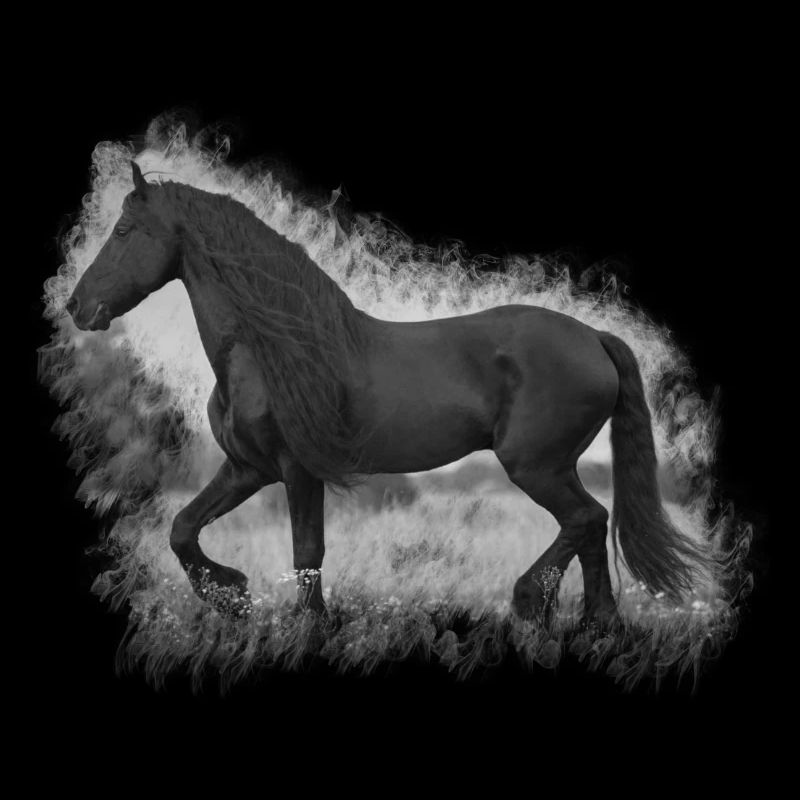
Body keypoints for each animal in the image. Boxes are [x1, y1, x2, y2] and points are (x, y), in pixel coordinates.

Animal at [66, 161, 710, 628]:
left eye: (122, 231)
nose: (76, 306)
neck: (269, 349)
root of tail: (594, 338)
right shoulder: (248, 469)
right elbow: (183, 529)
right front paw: (233, 597)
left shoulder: (297, 469)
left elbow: (306, 553)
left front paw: (309, 626)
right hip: (556, 465)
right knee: (592, 526)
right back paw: (600, 624)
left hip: (535, 465)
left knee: (585, 518)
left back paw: (532, 601)